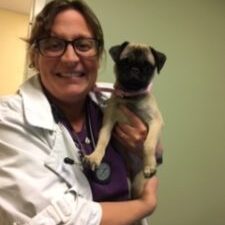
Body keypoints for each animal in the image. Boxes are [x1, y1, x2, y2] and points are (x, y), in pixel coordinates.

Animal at [85, 41, 166, 196]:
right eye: (124, 62)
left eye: (147, 67)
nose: (135, 69)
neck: (130, 97)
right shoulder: (108, 123)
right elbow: (102, 141)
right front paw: (95, 156)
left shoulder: (155, 122)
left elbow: (148, 144)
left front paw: (149, 165)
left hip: (139, 185)